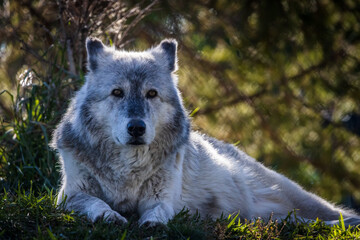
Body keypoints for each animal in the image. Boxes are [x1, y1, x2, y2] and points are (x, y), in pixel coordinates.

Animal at [51, 36, 360, 226]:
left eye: (151, 94)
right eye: (117, 92)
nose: (137, 128)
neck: (127, 171)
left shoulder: (163, 198)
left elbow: (159, 209)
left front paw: (152, 222)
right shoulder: (68, 197)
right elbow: (96, 203)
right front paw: (110, 215)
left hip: (295, 197)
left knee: (334, 214)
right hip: (266, 214)